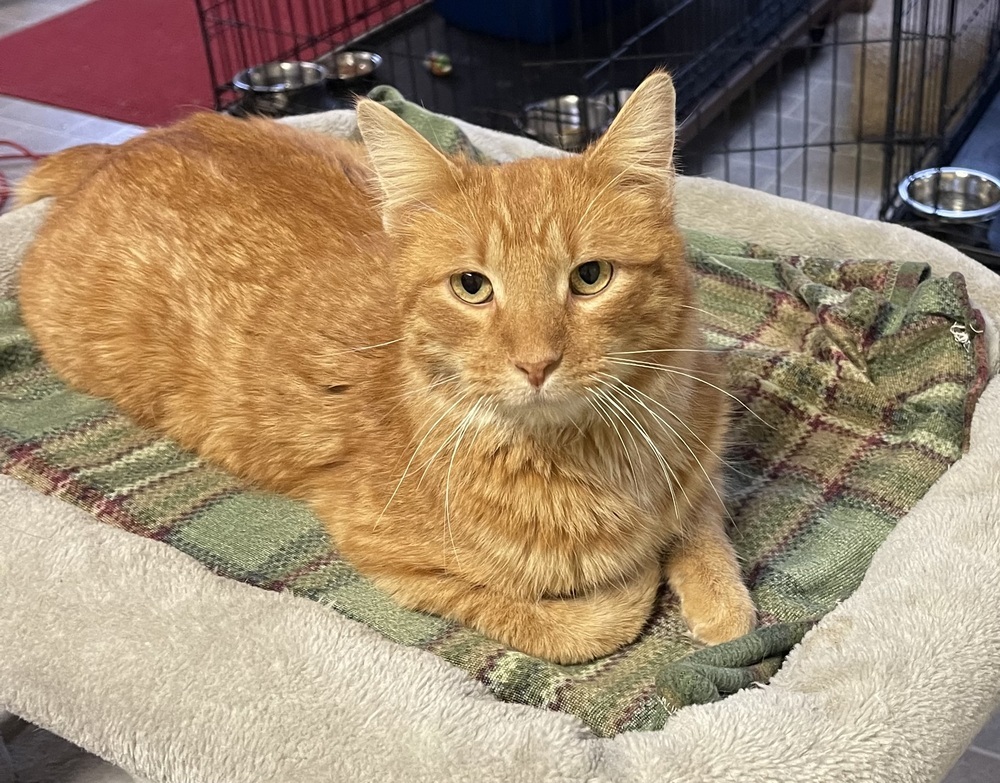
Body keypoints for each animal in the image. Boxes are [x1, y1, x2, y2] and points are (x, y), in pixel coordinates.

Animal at [17, 72, 752, 660]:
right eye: (472, 286)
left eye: (591, 277)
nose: (536, 362)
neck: (594, 454)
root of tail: (118, 148)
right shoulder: (384, 556)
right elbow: (581, 623)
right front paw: (639, 580)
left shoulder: (704, 446)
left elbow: (703, 524)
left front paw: (718, 599)